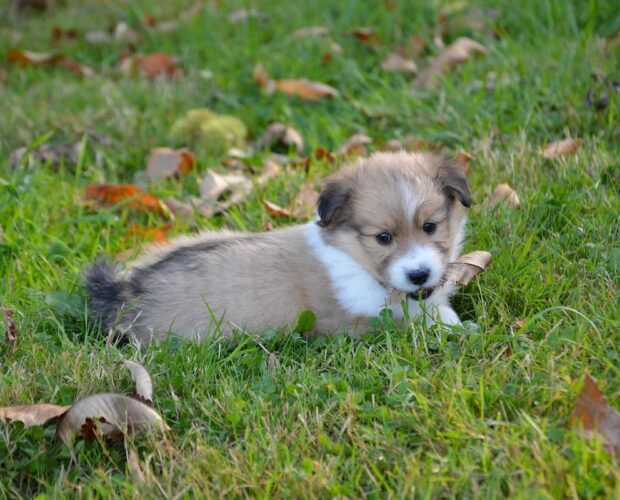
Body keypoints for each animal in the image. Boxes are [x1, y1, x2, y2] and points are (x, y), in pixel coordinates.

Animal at [85, 150, 472, 342]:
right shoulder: (352, 322)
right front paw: (458, 329)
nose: (419, 275)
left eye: (430, 226)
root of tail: (125, 292)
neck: (355, 260)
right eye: (383, 238)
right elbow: (409, 323)